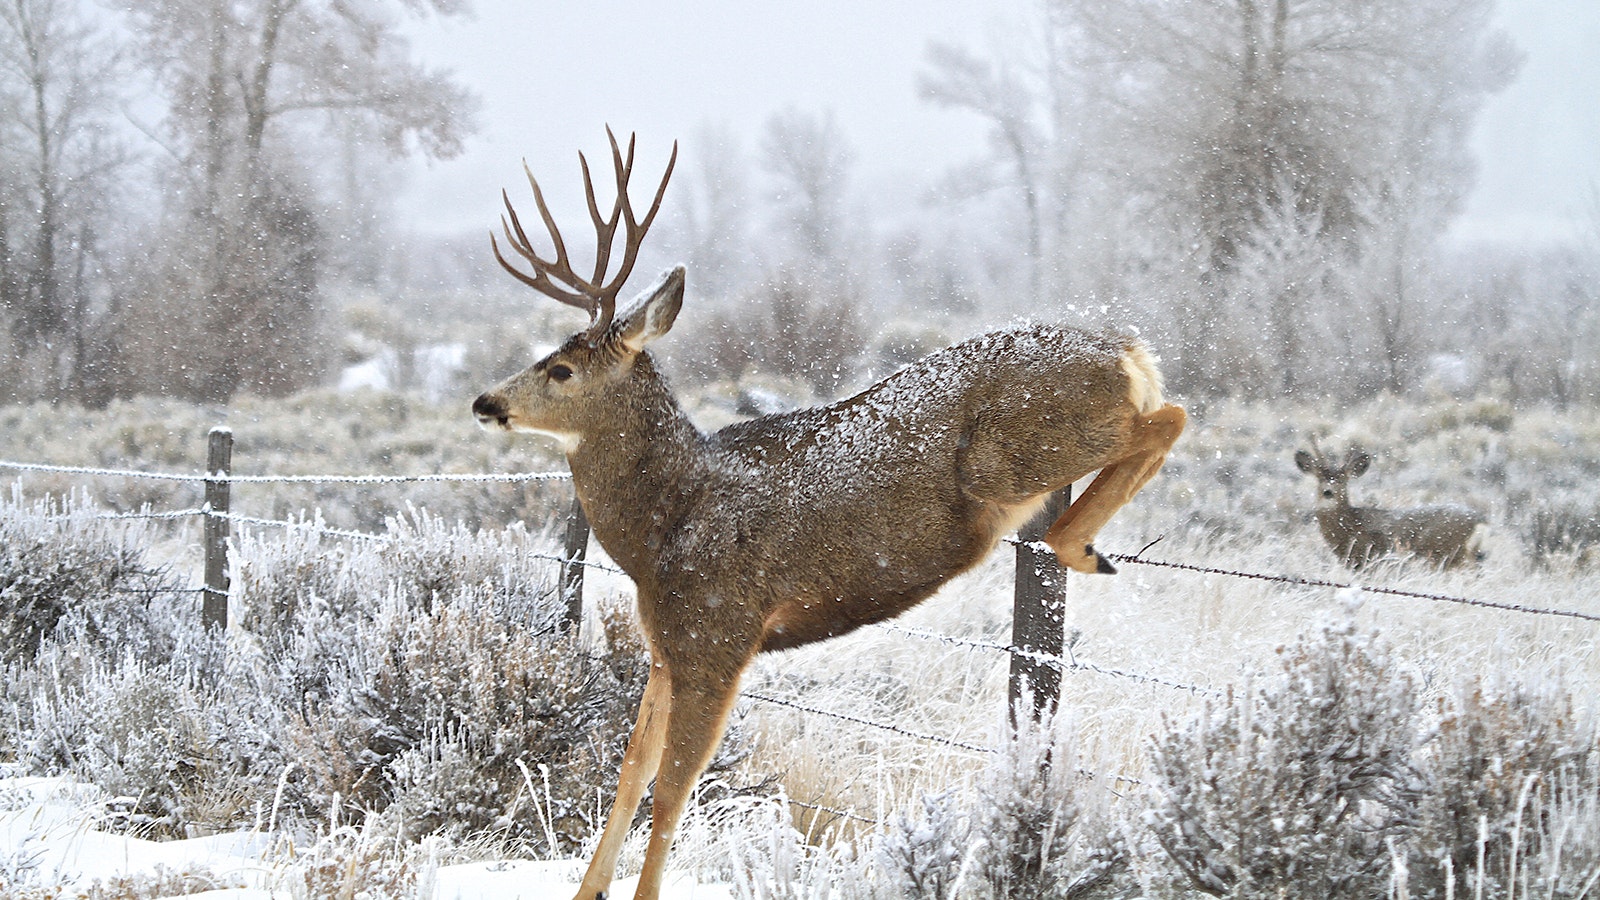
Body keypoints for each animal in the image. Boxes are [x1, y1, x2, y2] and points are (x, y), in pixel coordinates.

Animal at [471, 130, 1187, 900]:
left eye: (561, 370)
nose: (485, 402)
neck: (665, 523)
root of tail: (1125, 351)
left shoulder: (718, 632)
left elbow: (671, 792)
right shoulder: (666, 645)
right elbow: (630, 774)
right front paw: (587, 889)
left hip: (1012, 456)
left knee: (1167, 417)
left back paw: (1081, 543)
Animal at [1294, 443, 1484, 569]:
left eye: (1343, 480)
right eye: (1319, 479)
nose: (1328, 492)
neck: (1350, 526)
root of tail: (1477, 520)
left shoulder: (1368, 558)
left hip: (1447, 553)